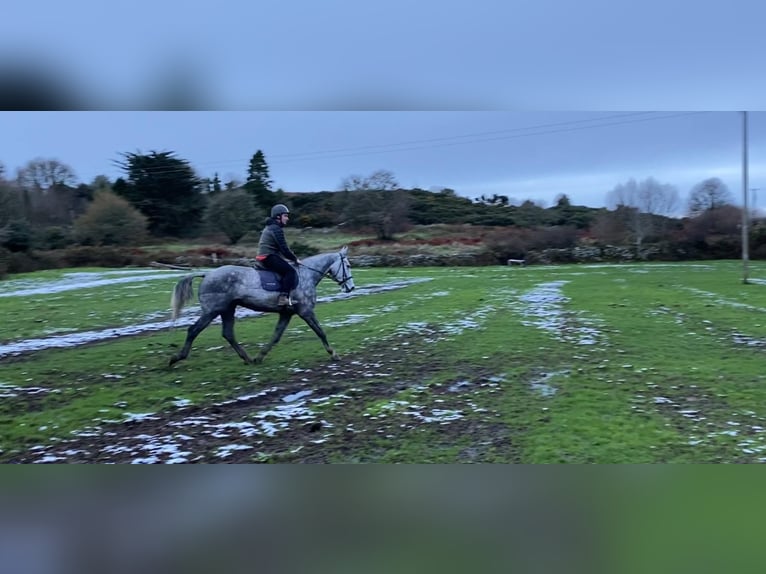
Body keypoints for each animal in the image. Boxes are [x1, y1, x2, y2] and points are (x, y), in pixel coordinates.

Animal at [168, 245, 354, 366]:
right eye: (348, 265)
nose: (351, 288)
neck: (306, 275)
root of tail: (207, 274)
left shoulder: (286, 314)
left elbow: (276, 336)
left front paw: (260, 356)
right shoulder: (306, 311)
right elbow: (320, 332)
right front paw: (334, 354)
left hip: (227, 310)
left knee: (228, 334)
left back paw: (248, 359)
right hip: (212, 311)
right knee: (193, 330)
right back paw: (176, 358)